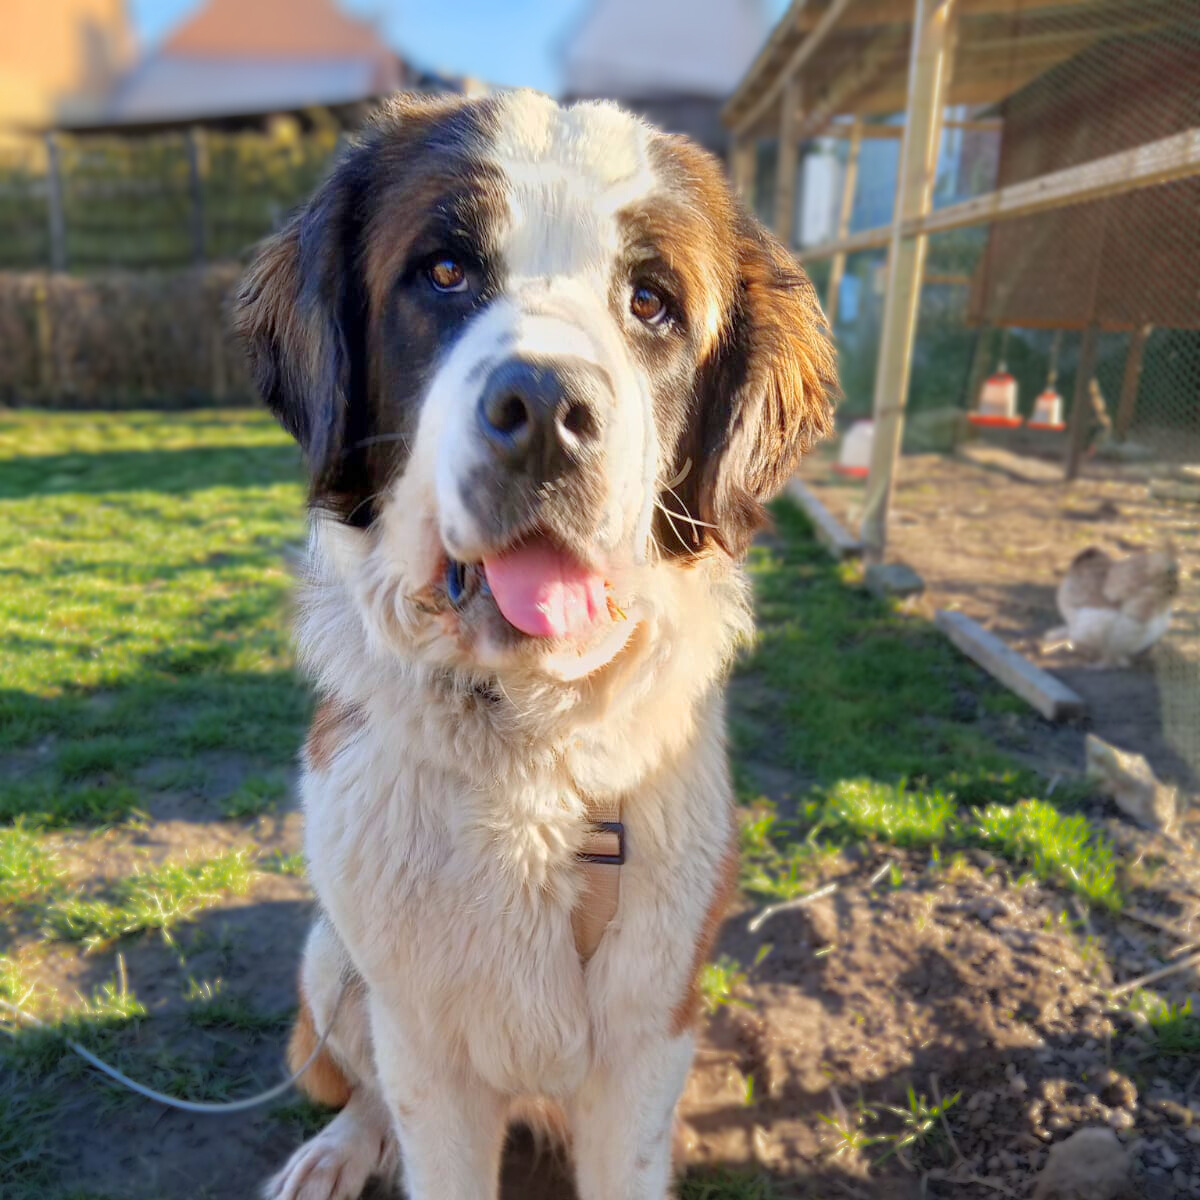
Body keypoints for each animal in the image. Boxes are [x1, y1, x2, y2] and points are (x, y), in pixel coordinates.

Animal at [236, 89, 836, 1200]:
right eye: (443, 272)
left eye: (650, 301)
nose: (549, 408)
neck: (530, 745)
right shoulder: (424, 1047)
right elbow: (420, 1122)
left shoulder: (649, 1037)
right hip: (330, 966)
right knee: (362, 1084)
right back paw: (337, 1152)